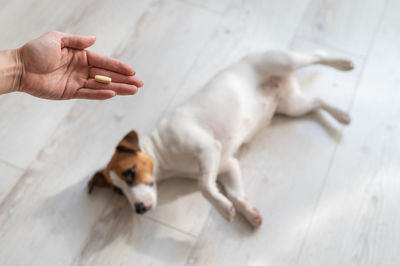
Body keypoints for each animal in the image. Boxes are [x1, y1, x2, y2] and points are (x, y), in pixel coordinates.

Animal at [88, 50, 354, 229]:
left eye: (131, 173)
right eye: (118, 192)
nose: (139, 210)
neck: (164, 154)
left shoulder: (206, 148)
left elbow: (205, 187)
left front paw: (223, 208)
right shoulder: (226, 164)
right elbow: (235, 192)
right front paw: (247, 212)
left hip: (284, 61)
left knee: (317, 55)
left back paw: (343, 63)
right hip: (292, 106)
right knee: (317, 102)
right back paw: (341, 115)